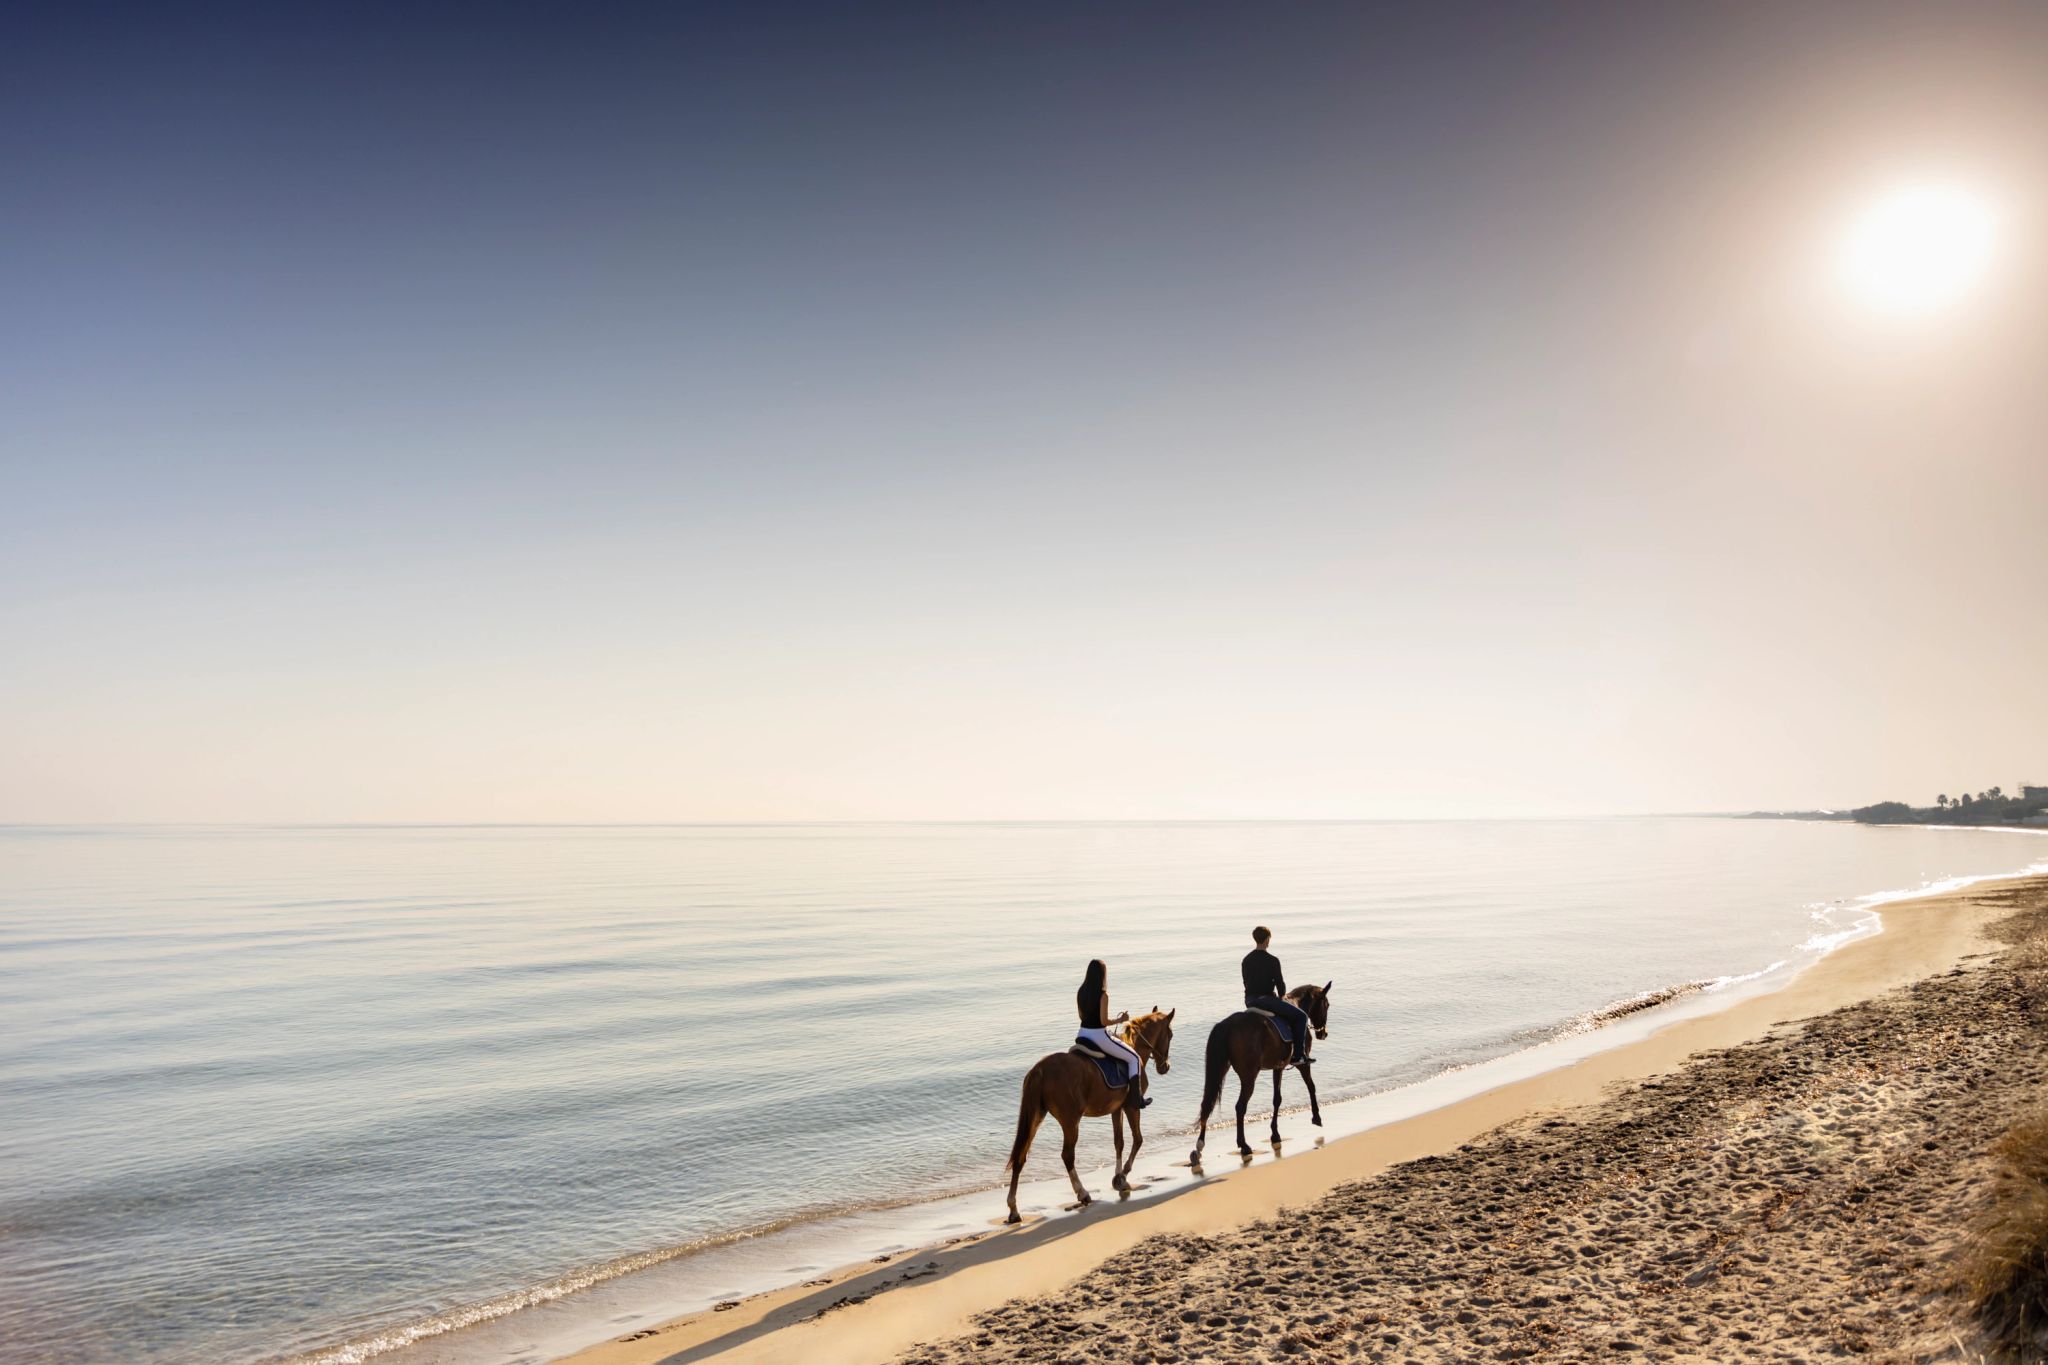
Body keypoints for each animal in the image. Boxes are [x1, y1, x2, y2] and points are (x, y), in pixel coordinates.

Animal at [999, 1010, 1179, 1219]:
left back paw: (1013, 1209)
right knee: (1067, 1155)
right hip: (1071, 1121)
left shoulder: (1116, 1109)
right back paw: (1082, 1193)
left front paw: (1119, 1178)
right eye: (1170, 1035)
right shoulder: (1131, 1106)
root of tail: (1041, 1069)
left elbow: (1119, 1142)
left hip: (1036, 1117)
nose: (1165, 1066)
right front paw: (1122, 1176)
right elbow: (1138, 1139)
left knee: (1020, 1157)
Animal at [1187, 982, 1327, 1162]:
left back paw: (1199, 1148)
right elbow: (1311, 1087)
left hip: (1221, 1069)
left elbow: (1277, 1099)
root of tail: (1227, 1025)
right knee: (1240, 1107)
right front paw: (1316, 1117)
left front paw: (1275, 1134)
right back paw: (1244, 1145)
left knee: (1207, 1104)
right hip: (1249, 1077)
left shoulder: (1278, 1067)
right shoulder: (1302, 1064)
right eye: (1326, 1005)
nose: (1323, 1033)